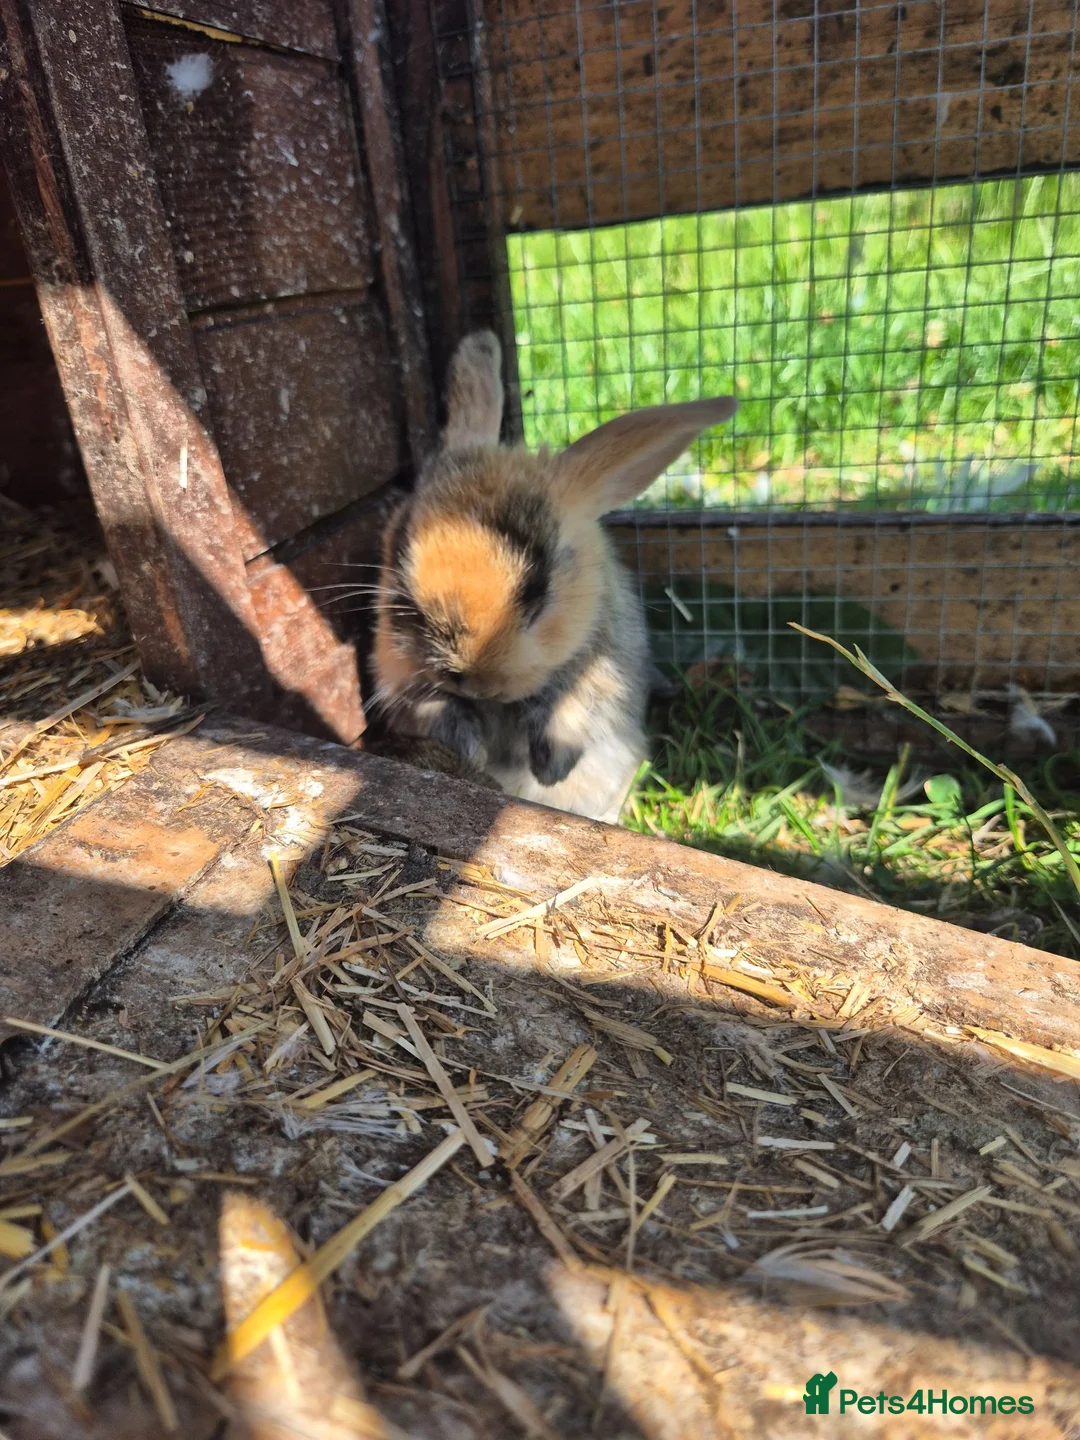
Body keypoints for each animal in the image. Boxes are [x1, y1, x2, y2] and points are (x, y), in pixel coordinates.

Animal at [370, 330, 737, 824]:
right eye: (400, 547)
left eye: (537, 593)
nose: (479, 681)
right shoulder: (398, 678)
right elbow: (431, 707)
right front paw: (473, 748)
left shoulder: (601, 668)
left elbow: (575, 705)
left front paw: (550, 769)